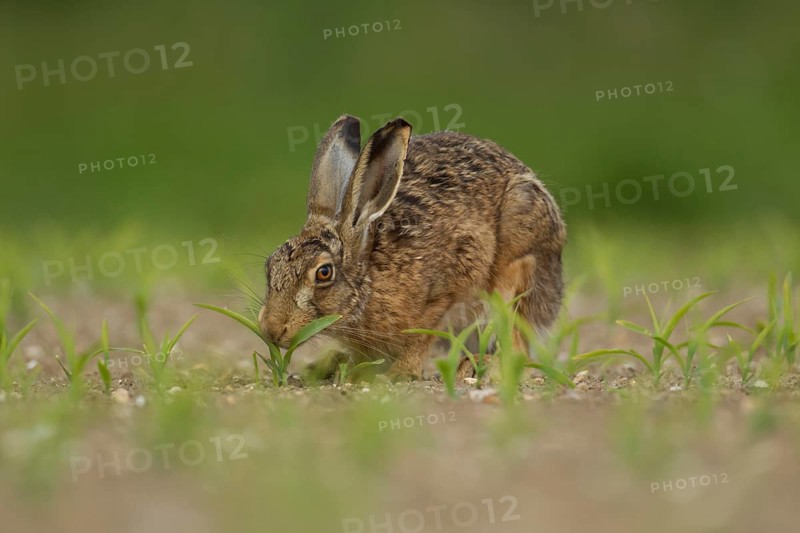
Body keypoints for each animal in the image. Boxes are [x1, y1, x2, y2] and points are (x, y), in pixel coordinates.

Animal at [258, 115, 566, 380]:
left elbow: (422, 334)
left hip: (515, 276)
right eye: (270, 266)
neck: (369, 278)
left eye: (324, 273)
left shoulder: (449, 284)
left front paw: (399, 373)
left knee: (517, 345)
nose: (270, 329)